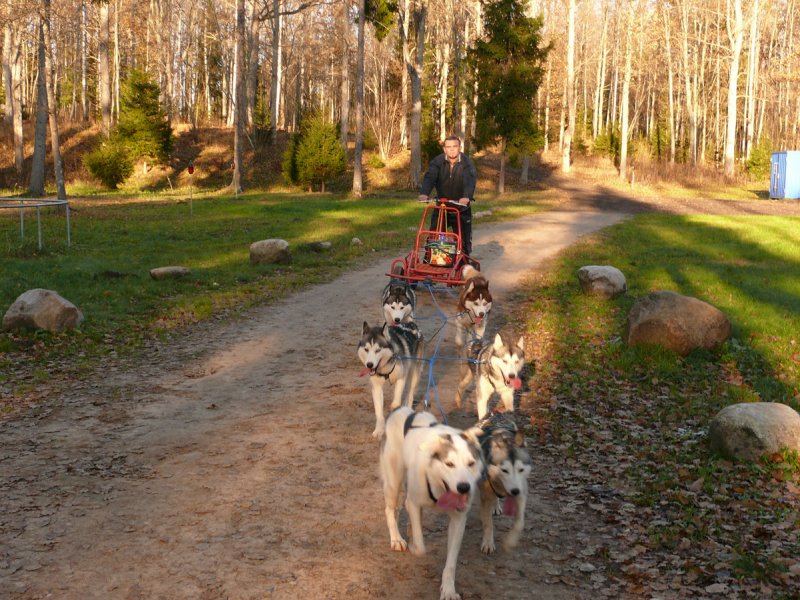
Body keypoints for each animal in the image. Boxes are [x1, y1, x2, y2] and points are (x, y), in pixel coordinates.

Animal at [380, 406, 484, 596]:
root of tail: (402, 409)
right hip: (393, 482)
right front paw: (413, 545)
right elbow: (421, 548)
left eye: (471, 463)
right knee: (390, 510)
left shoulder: (459, 520)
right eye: (449, 464)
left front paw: (448, 589)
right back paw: (397, 539)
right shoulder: (414, 503)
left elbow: (451, 562)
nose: (464, 487)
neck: (439, 485)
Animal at [476, 412, 532, 552]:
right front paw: (488, 543)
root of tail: (495, 414)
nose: (514, 491)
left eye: (520, 469)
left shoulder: (522, 492)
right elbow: (488, 524)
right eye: (504, 470)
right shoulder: (485, 495)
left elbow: (519, 522)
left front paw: (510, 541)